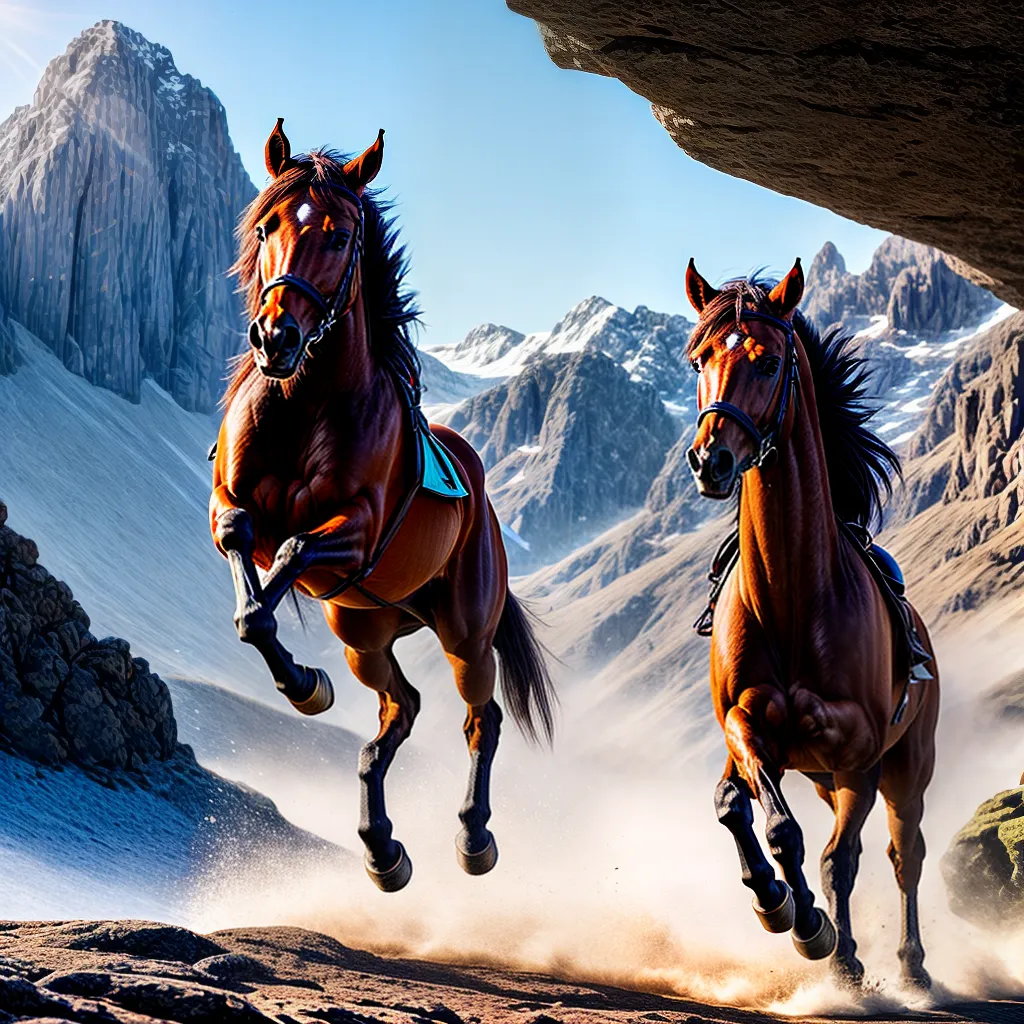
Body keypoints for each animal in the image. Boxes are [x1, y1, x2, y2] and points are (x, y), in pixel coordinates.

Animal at [209, 120, 555, 892]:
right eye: (267, 224)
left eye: (339, 236)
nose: (275, 337)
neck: (302, 405)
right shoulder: (227, 506)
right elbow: (248, 578)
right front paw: (305, 685)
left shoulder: (356, 534)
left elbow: (290, 555)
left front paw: (303, 685)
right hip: (363, 631)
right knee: (402, 709)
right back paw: (382, 849)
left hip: (463, 632)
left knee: (479, 716)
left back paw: (473, 838)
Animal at [684, 259, 939, 989]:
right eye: (698, 359)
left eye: (768, 362)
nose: (710, 460)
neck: (794, 595)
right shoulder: (746, 727)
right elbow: (753, 816)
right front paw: (782, 909)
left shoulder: (857, 751)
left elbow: (834, 857)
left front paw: (818, 933)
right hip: (823, 777)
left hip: (906, 767)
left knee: (901, 853)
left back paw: (907, 967)